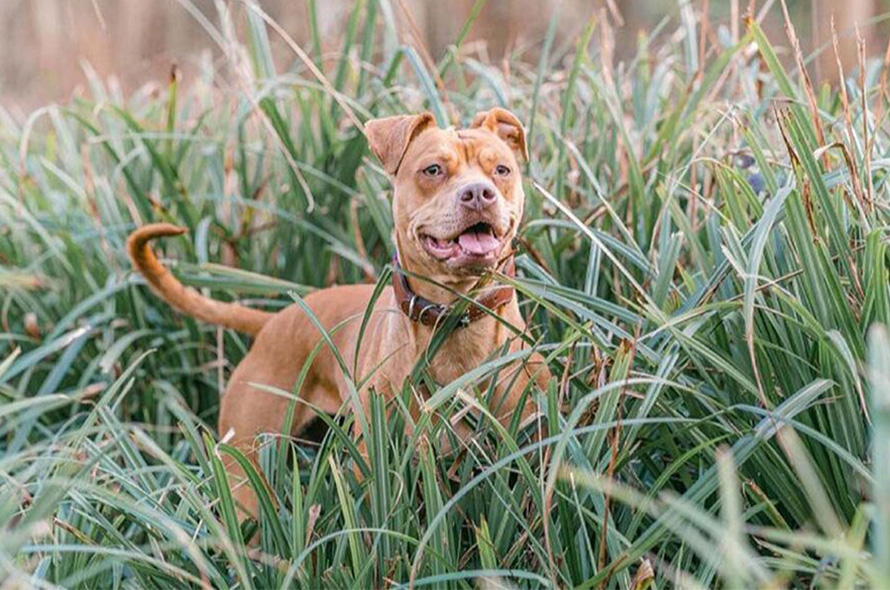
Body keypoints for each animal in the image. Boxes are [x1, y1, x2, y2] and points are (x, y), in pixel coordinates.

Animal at [126, 108, 548, 520]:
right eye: (432, 170)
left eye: (502, 170)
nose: (477, 193)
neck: (456, 317)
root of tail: (274, 321)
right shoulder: (376, 473)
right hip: (245, 473)